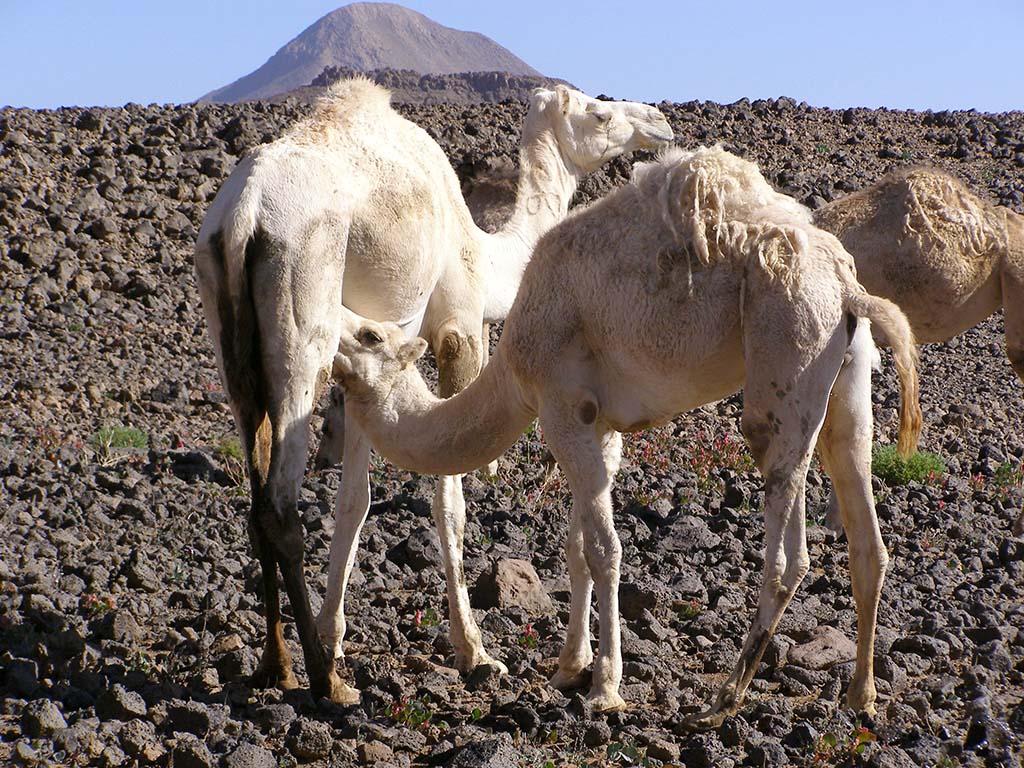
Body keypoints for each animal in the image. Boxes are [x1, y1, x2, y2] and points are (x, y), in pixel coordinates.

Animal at [192, 78, 675, 704]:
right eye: (599, 112)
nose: (658, 121)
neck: (488, 254)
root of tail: (243, 213)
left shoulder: (368, 360)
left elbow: (354, 501)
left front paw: (335, 634)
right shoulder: (456, 328)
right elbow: (449, 501)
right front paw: (475, 651)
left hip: (231, 343)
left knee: (255, 499)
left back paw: (277, 666)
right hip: (304, 322)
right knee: (279, 507)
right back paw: (325, 681)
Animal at [331, 147, 925, 724]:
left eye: (369, 335)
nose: (329, 334)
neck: (513, 371)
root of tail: (847, 287)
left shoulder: (560, 407)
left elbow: (604, 548)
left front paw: (605, 689)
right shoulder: (600, 425)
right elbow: (575, 546)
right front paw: (569, 668)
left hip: (785, 359)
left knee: (787, 556)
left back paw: (721, 701)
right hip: (848, 380)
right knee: (866, 534)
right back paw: (861, 696)